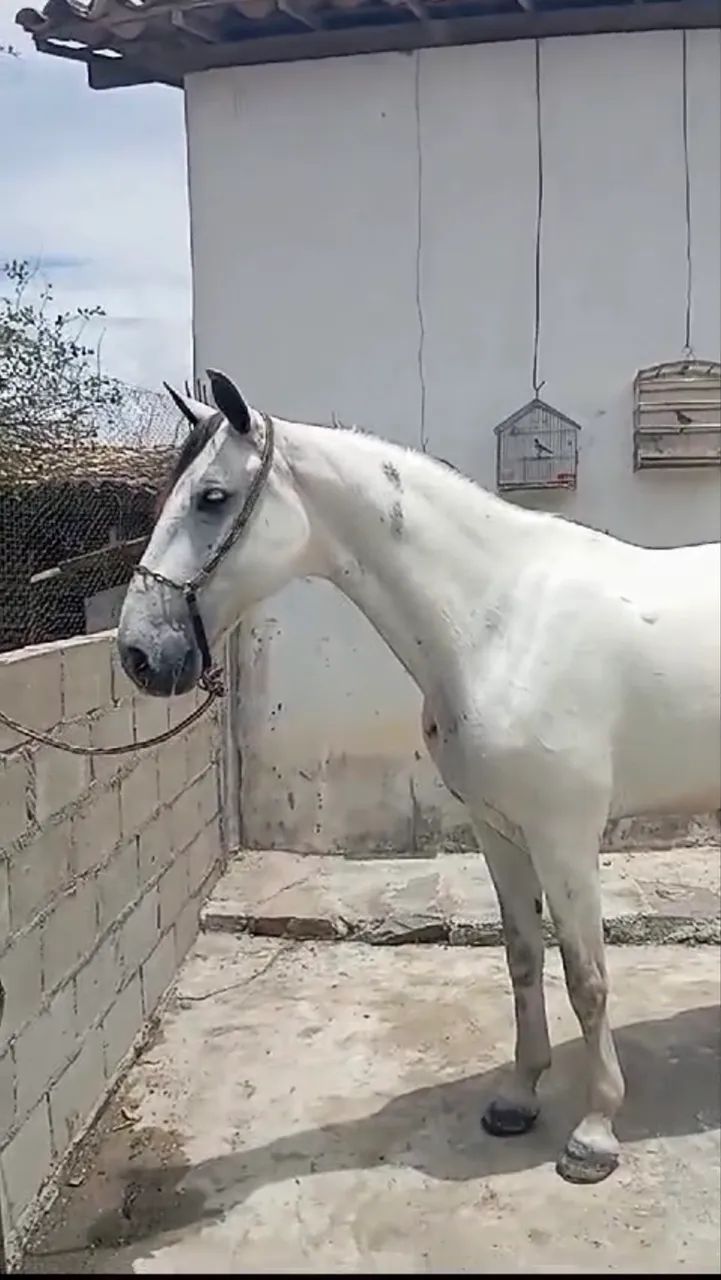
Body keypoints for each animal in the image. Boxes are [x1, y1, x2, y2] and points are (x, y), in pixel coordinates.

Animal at [117, 369, 721, 1186]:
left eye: (212, 496)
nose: (140, 653)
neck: (500, 620)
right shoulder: (499, 830)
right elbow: (523, 959)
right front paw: (518, 1098)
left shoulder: (564, 835)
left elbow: (587, 979)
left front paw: (594, 1132)